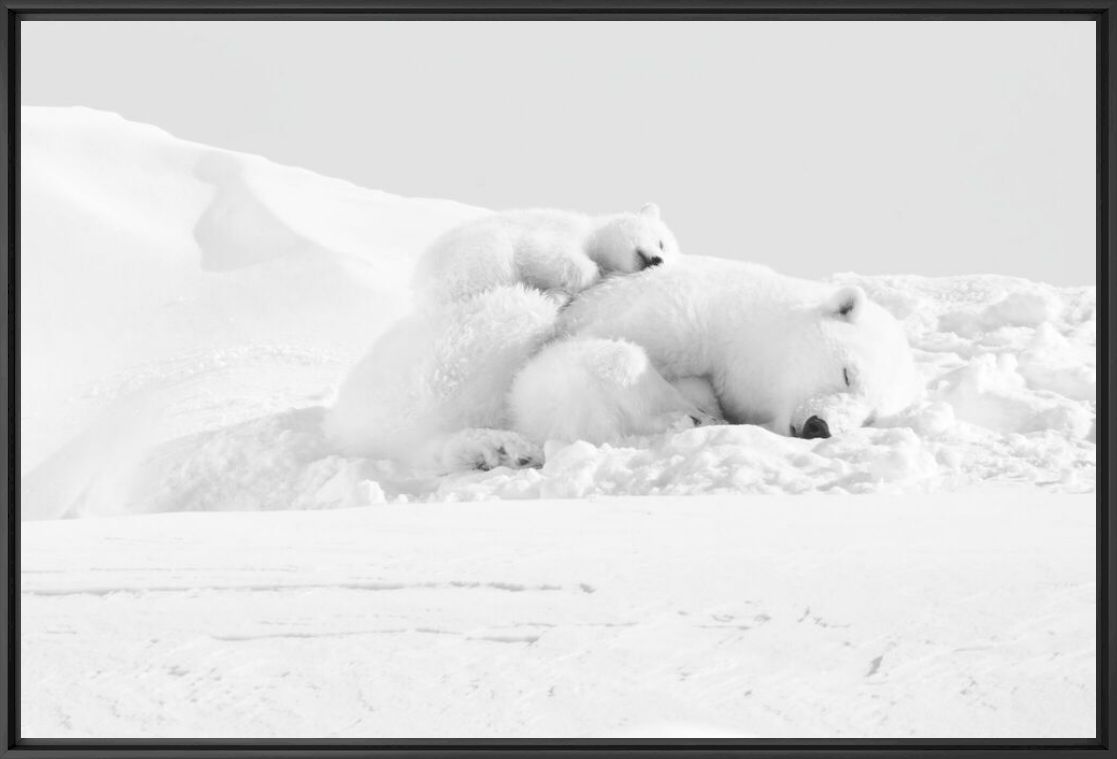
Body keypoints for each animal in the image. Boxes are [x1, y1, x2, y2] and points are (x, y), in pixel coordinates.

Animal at [323, 254, 915, 469]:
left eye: (870, 416)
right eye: (846, 371)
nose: (820, 425)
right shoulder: (670, 312)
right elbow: (551, 376)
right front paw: (682, 414)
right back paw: (492, 447)